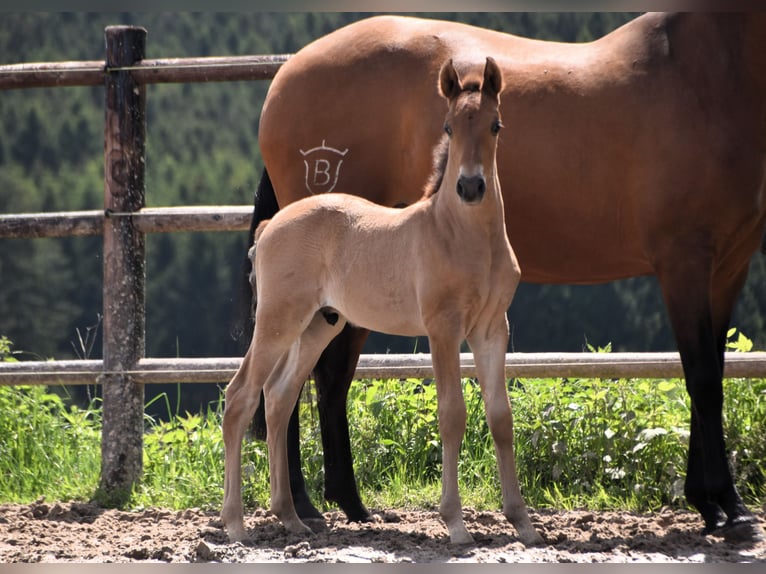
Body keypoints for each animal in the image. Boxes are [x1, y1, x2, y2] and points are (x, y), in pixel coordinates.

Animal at [222, 58, 544, 548]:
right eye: (448, 126)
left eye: (496, 125)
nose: (471, 187)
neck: (460, 234)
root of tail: (268, 228)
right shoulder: (443, 328)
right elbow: (452, 415)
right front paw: (455, 523)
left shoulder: (492, 329)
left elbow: (501, 418)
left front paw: (522, 523)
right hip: (279, 320)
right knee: (239, 397)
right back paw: (236, 523)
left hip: (319, 325)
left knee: (278, 398)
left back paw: (292, 518)